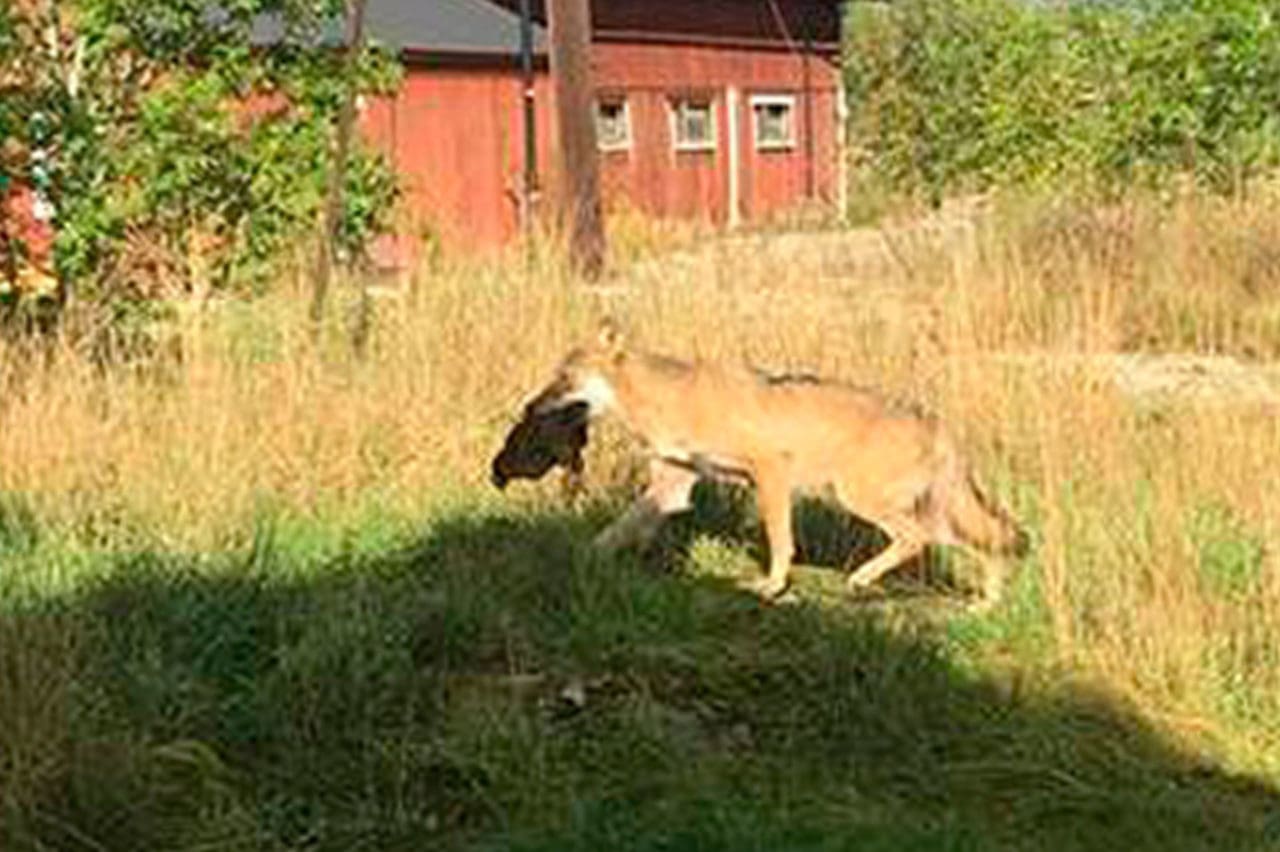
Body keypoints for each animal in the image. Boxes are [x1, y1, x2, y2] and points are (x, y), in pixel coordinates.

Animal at [494, 322, 1024, 606]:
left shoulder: (769, 475)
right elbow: (613, 532)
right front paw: (580, 556)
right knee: (982, 546)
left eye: (565, 379)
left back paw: (861, 579)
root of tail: (938, 424)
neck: (669, 398)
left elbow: (781, 543)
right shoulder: (673, 488)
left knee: (919, 540)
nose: (529, 406)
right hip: (926, 513)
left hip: (861, 499)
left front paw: (770, 586)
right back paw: (985, 605)